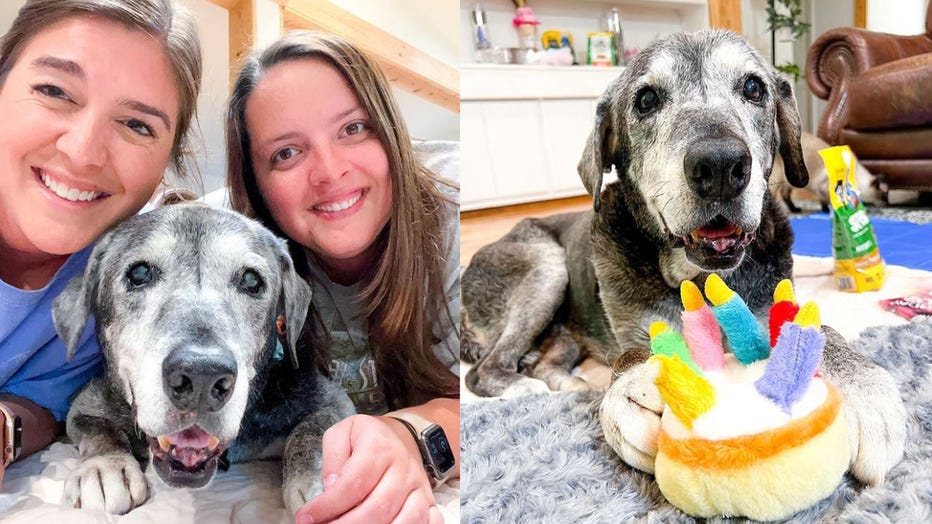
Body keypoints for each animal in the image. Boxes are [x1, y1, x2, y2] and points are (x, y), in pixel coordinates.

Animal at [52, 203, 354, 512]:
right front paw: (104, 466)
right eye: (139, 274)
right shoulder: (84, 406)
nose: (202, 377)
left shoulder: (330, 399)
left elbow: (313, 429)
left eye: (251, 280)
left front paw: (316, 480)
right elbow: (98, 428)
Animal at [462, 28, 908, 488]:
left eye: (754, 88)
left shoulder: (772, 305)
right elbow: (630, 355)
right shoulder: (636, 332)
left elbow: (819, 327)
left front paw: (863, 388)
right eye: (645, 100)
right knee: (482, 372)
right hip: (545, 265)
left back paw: (570, 384)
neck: (701, 278)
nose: (721, 165)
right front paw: (631, 389)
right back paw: (524, 388)